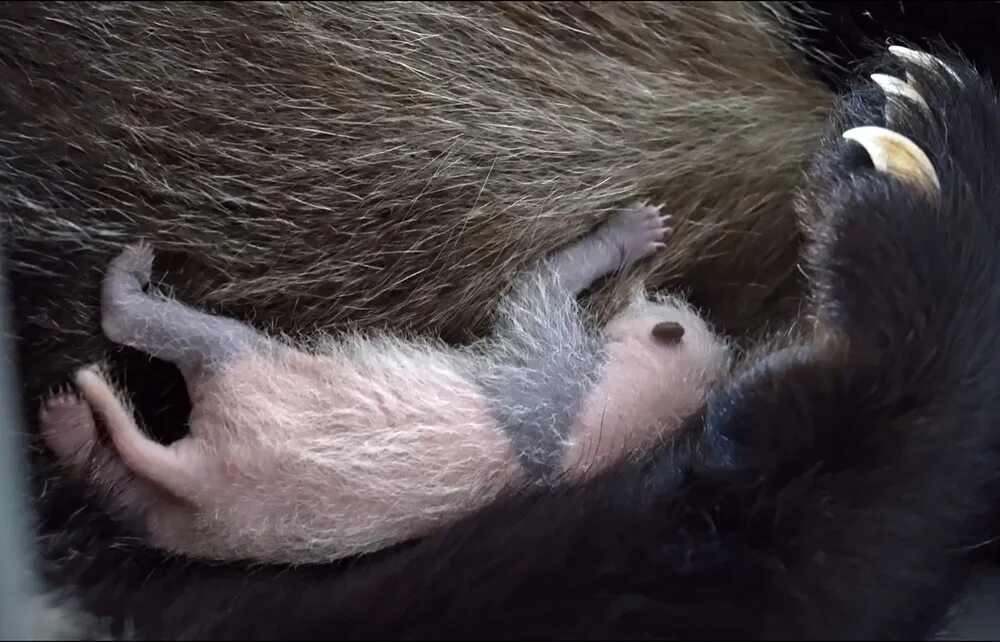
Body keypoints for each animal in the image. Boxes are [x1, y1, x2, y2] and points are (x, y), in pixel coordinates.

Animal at [1, 2, 1000, 636]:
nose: (667, 303)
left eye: (669, 316)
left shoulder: (549, 379)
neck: (586, 433)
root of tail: (196, 471)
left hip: (241, 377)